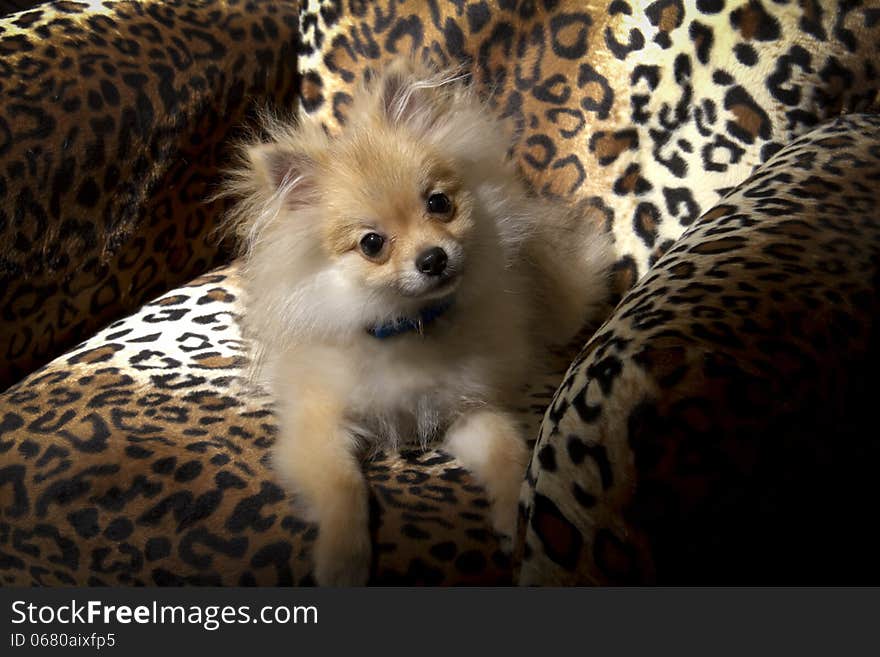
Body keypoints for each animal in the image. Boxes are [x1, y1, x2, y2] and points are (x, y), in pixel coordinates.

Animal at [222, 59, 612, 584]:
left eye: (439, 203)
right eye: (371, 244)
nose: (433, 258)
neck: (408, 327)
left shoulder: (466, 408)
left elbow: (510, 453)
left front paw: (515, 515)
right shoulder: (318, 424)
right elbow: (343, 486)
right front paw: (343, 559)